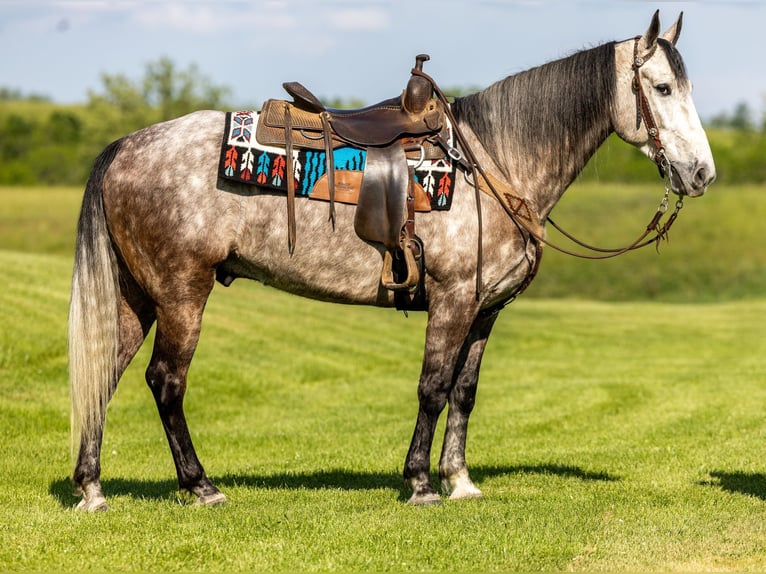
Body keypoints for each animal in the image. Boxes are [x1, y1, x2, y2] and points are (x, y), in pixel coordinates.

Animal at [69, 11, 715, 511]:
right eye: (661, 89)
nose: (702, 174)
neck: (492, 163)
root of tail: (125, 146)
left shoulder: (484, 310)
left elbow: (464, 392)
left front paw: (460, 480)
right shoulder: (452, 300)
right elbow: (433, 386)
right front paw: (422, 483)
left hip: (137, 298)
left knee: (105, 374)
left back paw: (92, 489)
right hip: (181, 294)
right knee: (166, 381)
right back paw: (200, 486)